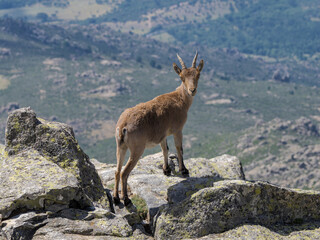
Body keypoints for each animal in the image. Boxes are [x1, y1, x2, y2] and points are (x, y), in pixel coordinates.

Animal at [113, 52, 202, 204]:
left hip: (121, 146)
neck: (179, 99)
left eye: (198, 75)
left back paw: (115, 198)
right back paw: (126, 199)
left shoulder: (163, 134)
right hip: (137, 149)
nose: (192, 90)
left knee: (117, 171)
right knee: (124, 172)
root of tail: (123, 125)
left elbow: (165, 149)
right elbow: (179, 148)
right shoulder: (177, 130)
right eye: (181, 77)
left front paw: (166, 170)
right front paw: (184, 170)